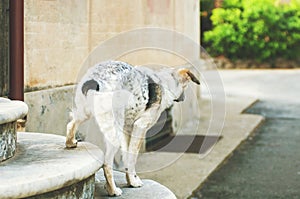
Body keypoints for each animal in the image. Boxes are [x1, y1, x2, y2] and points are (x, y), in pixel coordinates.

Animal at [67, 60, 200, 194]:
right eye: (186, 86)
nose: (184, 98)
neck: (165, 83)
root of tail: (94, 81)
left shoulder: (127, 129)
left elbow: (127, 156)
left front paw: (130, 181)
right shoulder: (140, 126)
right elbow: (132, 157)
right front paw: (133, 182)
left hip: (85, 113)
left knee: (71, 124)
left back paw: (70, 142)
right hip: (114, 134)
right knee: (106, 163)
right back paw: (112, 190)